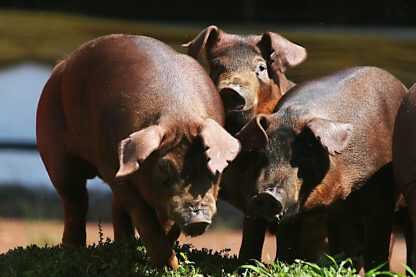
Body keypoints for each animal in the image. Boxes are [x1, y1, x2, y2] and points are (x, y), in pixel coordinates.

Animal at [37, 34, 242, 268]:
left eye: (211, 167)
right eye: (164, 168)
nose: (197, 220)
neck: (179, 114)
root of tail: (61, 65)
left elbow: (166, 224)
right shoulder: (115, 170)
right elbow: (144, 218)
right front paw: (169, 267)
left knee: (114, 208)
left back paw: (123, 246)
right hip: (54, 151)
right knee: (75, 201)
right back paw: (73, 250)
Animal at [236, 66, 408, 268]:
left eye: (303, 156)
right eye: (261, 155)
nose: (267, 194)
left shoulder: (382, 192)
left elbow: (378, 241)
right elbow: (284, 238)